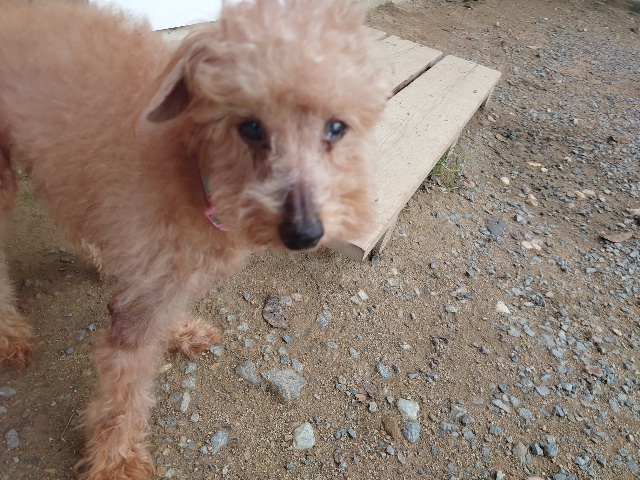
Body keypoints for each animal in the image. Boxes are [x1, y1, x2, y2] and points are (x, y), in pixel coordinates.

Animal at [0, 0, 390, 478]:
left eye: (336, 128)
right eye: (250, 127)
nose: (304, 232)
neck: (195, 169)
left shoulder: (167, 271)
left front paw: (180, 330)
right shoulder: (140, 310)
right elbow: (125, 386)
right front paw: (117, 460)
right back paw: (10, 335)